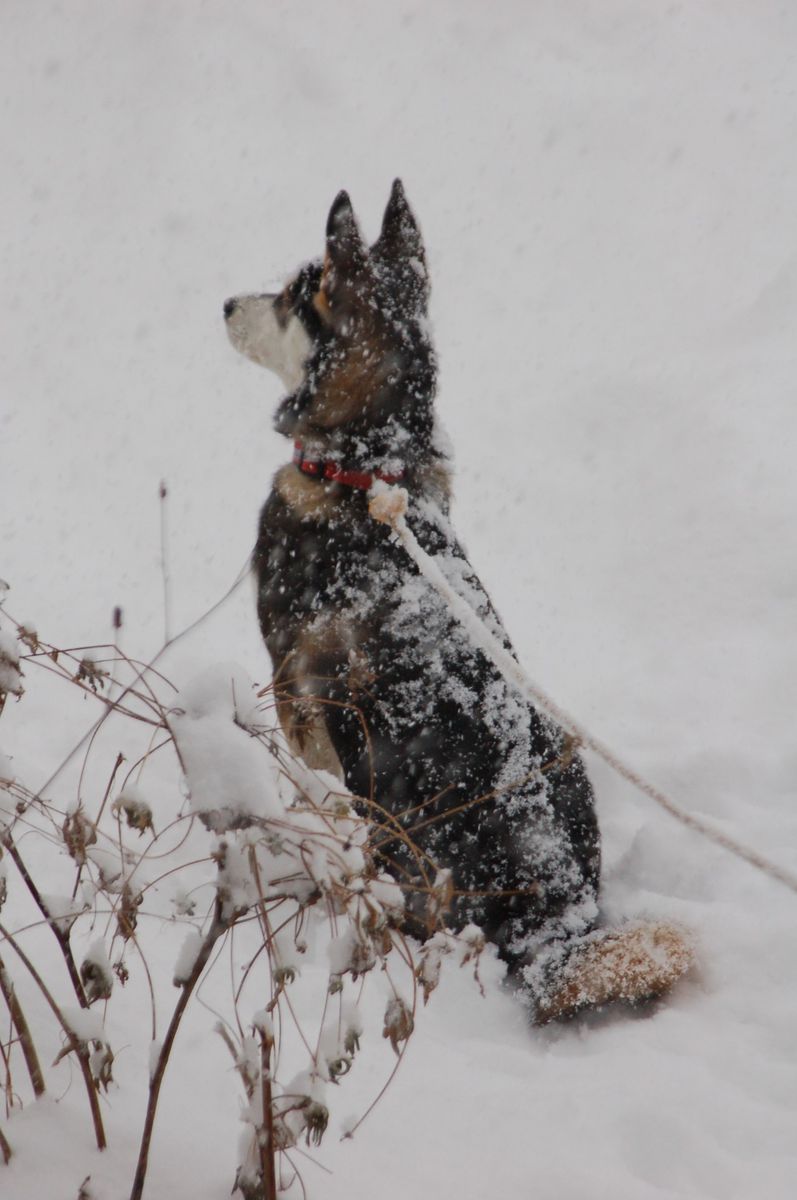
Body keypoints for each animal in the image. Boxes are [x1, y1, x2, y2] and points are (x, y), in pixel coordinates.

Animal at [224, 182, 691, 1027]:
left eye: (289, 295)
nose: (222, 304)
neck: (368, 469)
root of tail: (552, 922)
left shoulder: (300, 696)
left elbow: (307, 783)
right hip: (562, 751)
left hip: (399, 823)